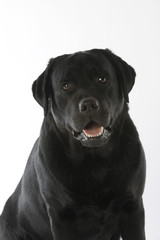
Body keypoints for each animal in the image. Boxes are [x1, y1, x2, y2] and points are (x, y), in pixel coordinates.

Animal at [0, 47, 146, 239]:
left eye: (102, 79)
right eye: (66, 86)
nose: (89, 105)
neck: (94, 161)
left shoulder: (132, 206)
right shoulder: (61, 216)